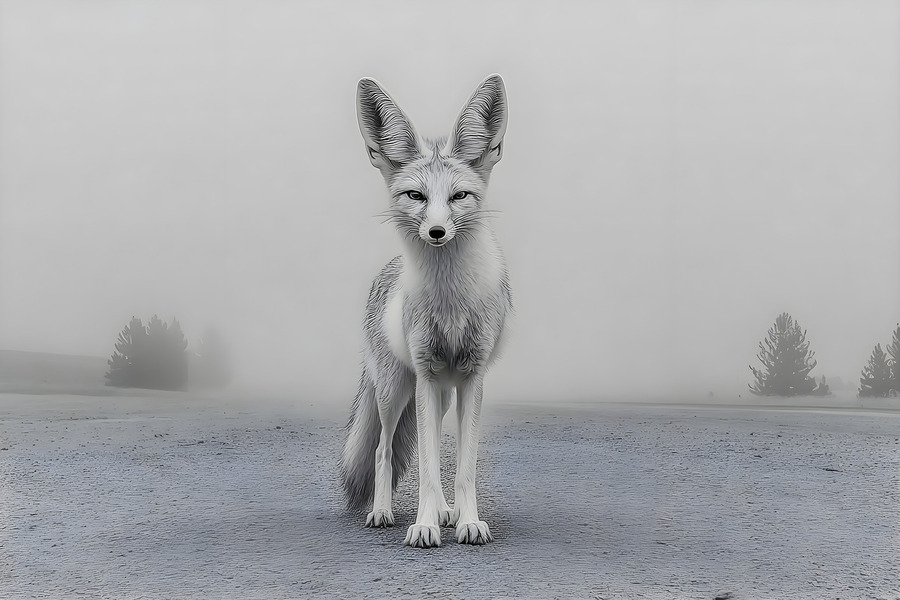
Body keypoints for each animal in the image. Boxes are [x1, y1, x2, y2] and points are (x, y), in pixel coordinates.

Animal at [340, 75, 511, 548]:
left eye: (458, 196)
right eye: (415, 195)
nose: (436, 232)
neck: (449, 300)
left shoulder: (471, 378)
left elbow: (463, 467)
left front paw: (468, 521)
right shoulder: (426, 371)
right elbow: (428, 470)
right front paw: (424, 525)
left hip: (441, 394)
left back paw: (447, 511)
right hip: (397, 390)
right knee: (382, 449)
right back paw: (382, 512)